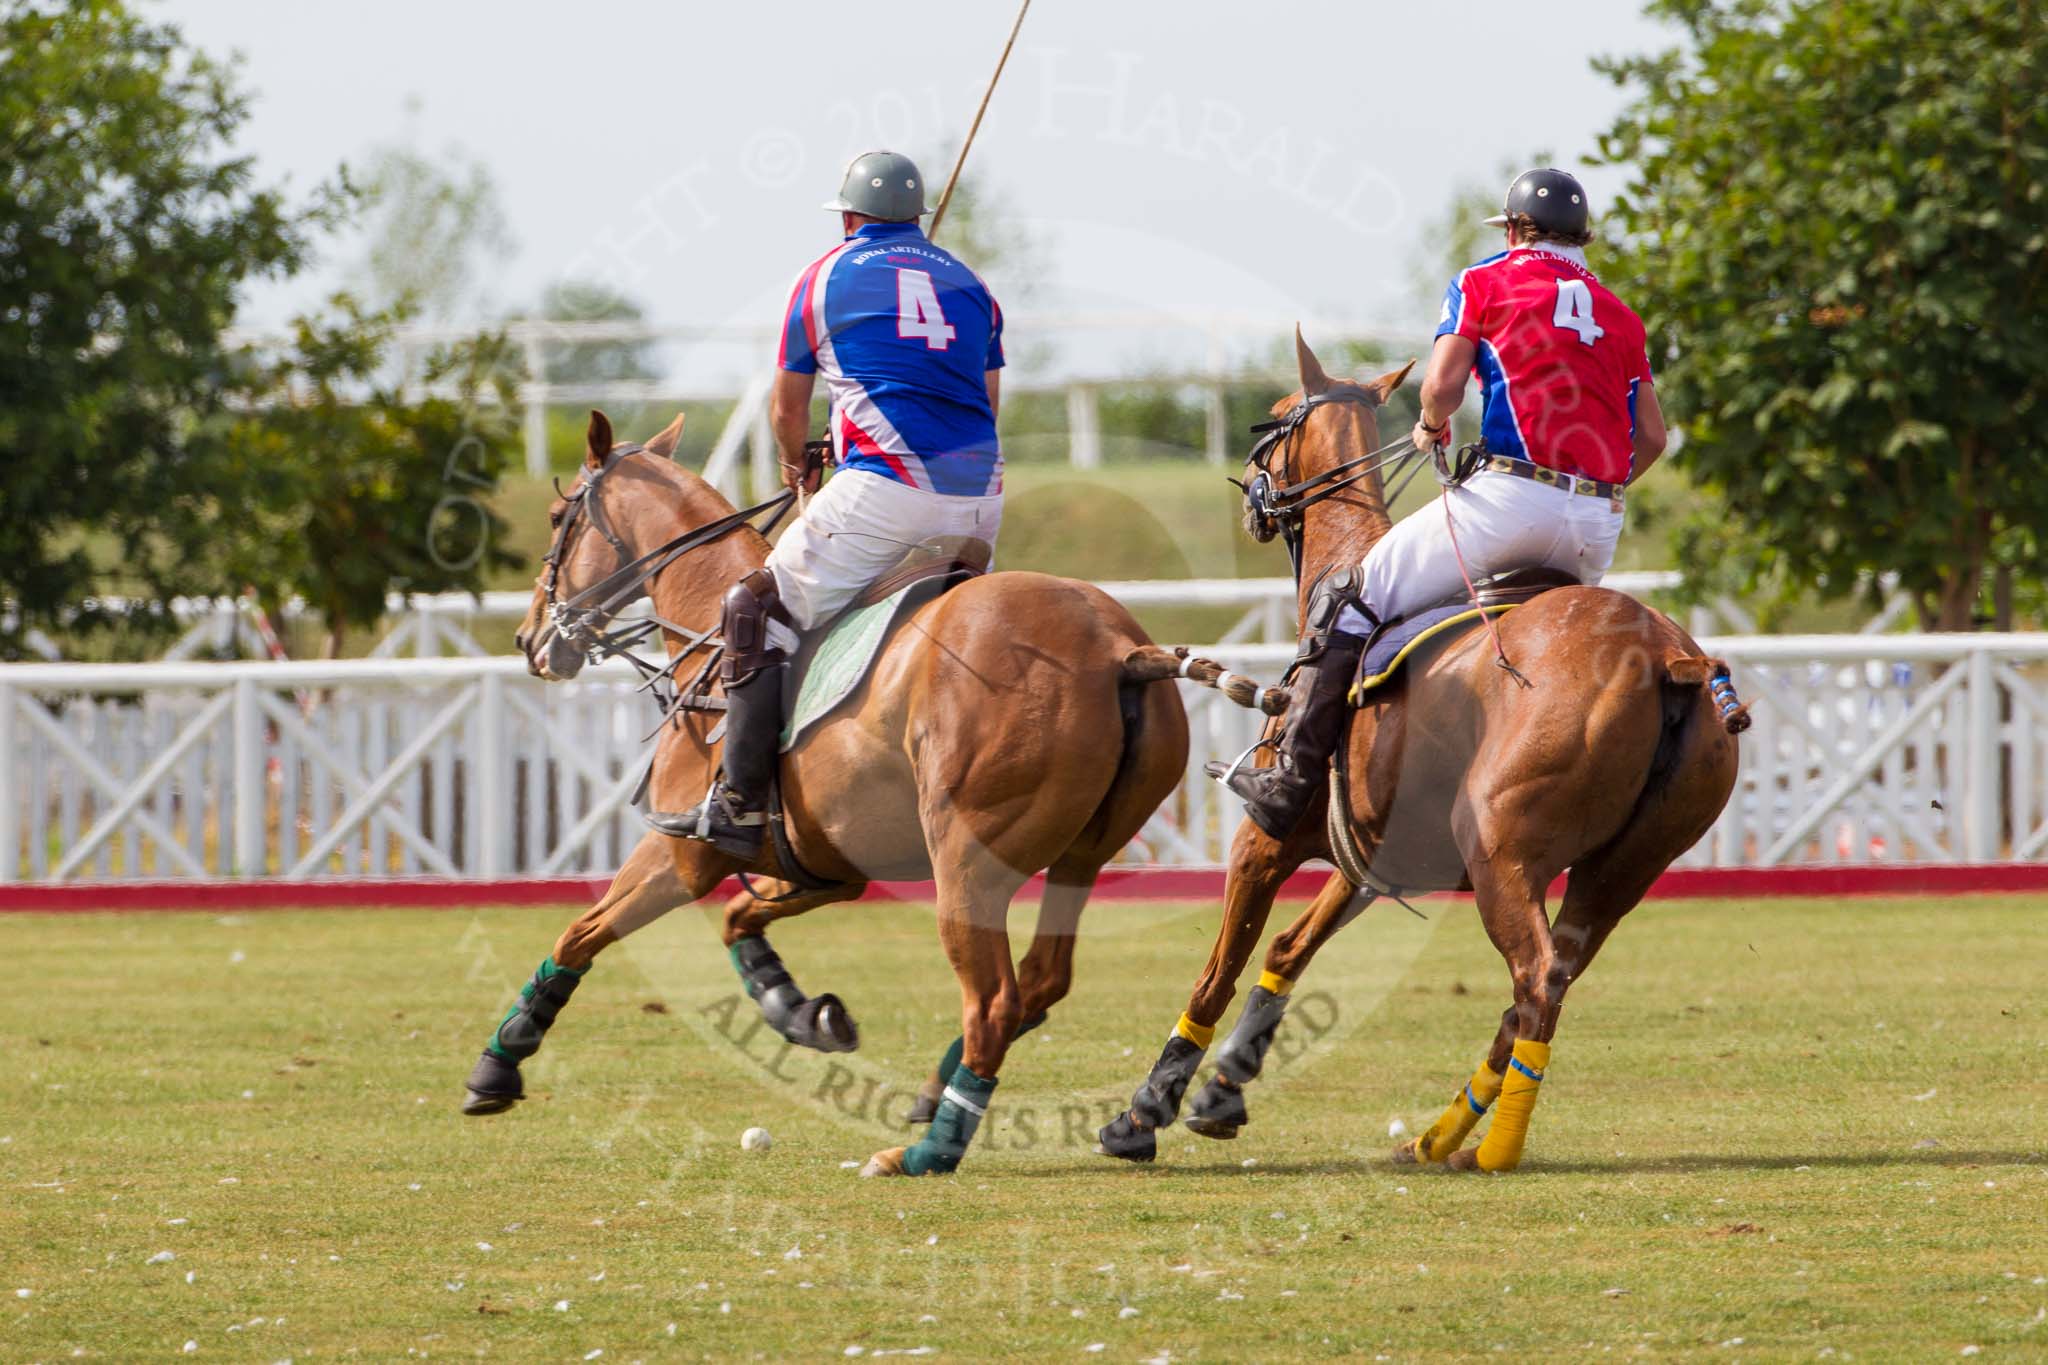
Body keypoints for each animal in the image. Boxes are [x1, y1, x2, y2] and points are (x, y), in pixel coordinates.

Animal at [464, 411, 1261, 1178]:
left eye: (557, 515)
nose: (531, 638)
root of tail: (1120, 651)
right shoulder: (825, 863)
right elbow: (739, 917)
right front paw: (797, 1010)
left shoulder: (682, 851)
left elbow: (582, 931)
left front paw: (500, 1062)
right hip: (1082, 856)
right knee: (1039, 980)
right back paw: (936, 1094)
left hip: (964, 861)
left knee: (995, 999)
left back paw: (928, 1150)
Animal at [1105, 339, 1744, 1178]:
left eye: (1274, 417)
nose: (1250, 497)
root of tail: (1673, 658)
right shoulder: (1368, 854)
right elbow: (1289, 947)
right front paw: (1223, 1091)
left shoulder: (1265, 840)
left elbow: (1220, 968)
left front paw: (1146, 1108)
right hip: (1627, 867)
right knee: (1547, 982)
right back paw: (1441, 1135)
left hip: (1501, 847)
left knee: (1536, 976)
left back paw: (1494, 1147)